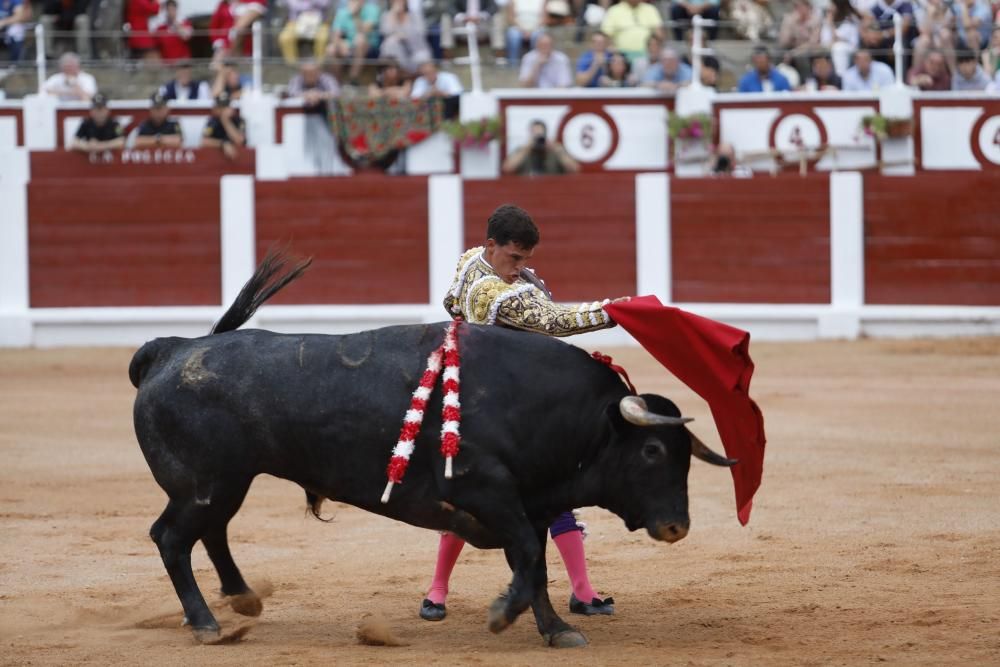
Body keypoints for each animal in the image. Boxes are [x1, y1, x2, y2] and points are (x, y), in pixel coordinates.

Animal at [129, 254, 732, 648]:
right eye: (652, 450)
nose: (677, 526)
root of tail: (171, 350)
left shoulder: (530, 503)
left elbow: (535, 562)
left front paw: (558, 629)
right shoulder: (488, 492)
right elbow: (527, 557)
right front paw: (503, 615)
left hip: (226, 482)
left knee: (211, 532)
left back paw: (242, 599)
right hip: (204, 484)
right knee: (172, 538)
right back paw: (206, 623)